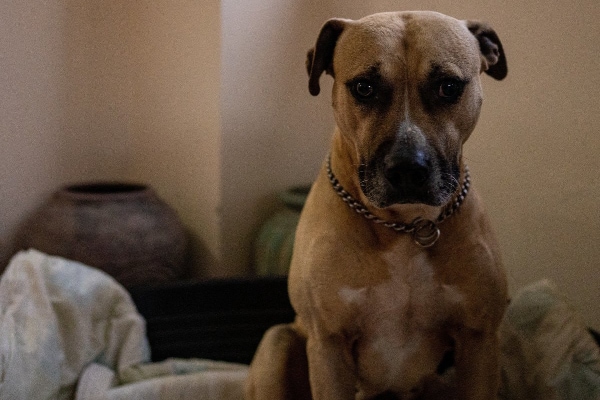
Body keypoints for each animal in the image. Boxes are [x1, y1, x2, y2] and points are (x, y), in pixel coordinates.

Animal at [246, 10, 508, 400]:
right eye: (364, 87)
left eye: (448, 87)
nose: (408, 169)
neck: (407, 227)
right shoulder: (328, 345)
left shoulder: (480, 341)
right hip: (276, 342)